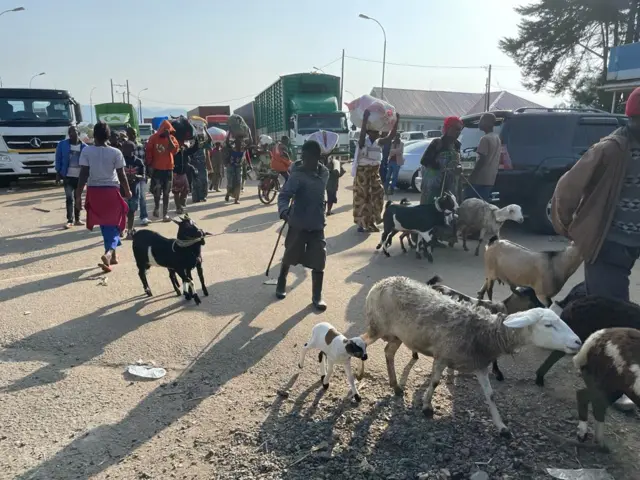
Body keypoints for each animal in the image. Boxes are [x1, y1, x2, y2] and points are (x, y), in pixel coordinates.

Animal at [358, 276, 584, 436]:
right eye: (548, 325)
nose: (578, 342)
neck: (484, 333)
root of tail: (383, 281)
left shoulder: (480, 364)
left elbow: (490, 395)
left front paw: (502, 427)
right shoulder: (442, 355)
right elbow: (435, 382)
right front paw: (427, 406)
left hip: (397, 335)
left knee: (388, 352)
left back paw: (396, 386)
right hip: (378, 325)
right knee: (360, 342)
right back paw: (360, 379)